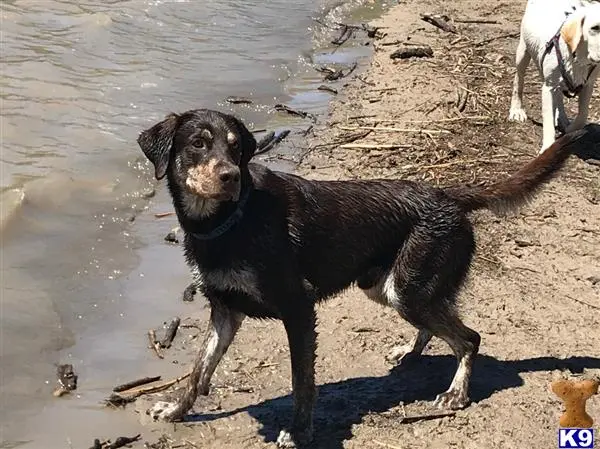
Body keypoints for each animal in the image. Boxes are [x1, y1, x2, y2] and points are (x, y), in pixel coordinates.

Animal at [137, 109, 600, 448]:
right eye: (198, 144)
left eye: (237, 150)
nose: (230, 176)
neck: (227, 221)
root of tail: (450, 195)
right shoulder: (224, 311)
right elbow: (198, 371)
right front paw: (176, 411)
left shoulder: (298, 308)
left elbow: (302, 382)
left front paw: (299, 432)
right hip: (389, 287)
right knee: (441, 324)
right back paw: (411, 352)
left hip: (408, 289)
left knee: (469, 339)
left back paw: (456, 393)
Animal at [510, 0, 600, 153]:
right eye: (595, 28)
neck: (578, 58)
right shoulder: (548, 88)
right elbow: (548, 121)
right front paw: (548, 147)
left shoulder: (587, 85)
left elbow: (582, 116)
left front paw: (570, 129)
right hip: (523, 53)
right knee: (518, 80)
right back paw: (516, 109)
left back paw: (562, 118)